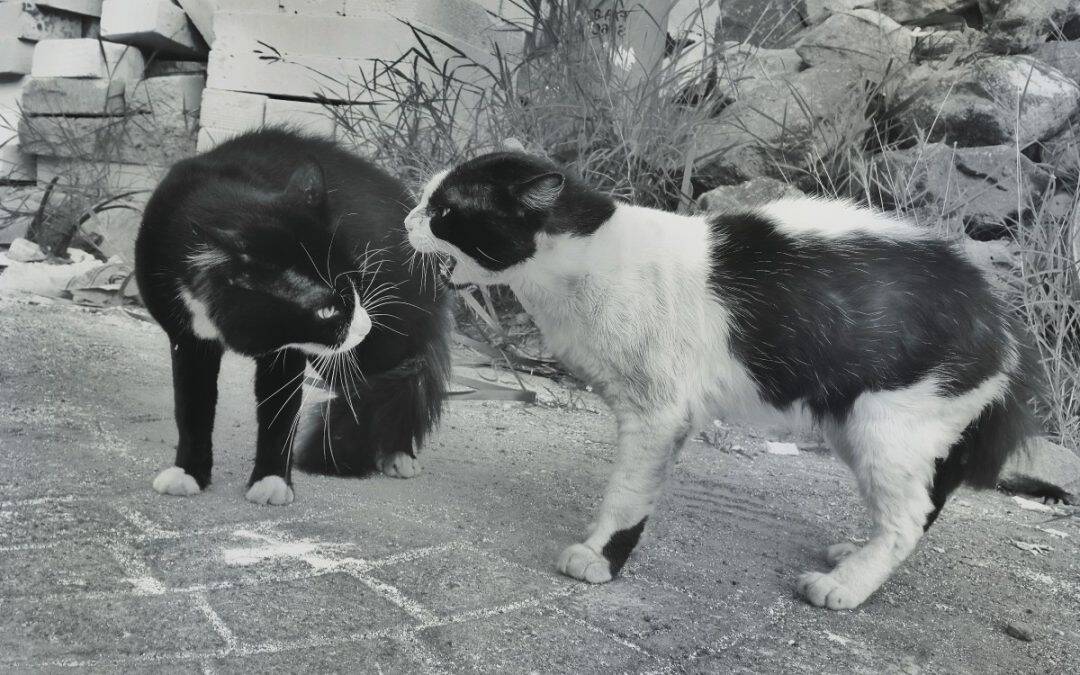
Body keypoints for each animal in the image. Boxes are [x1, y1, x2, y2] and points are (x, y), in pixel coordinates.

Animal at [136, 127, 451, 505]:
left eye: (356, 282)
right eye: (327, 309)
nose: (364, 325)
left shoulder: (286, 354)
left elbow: (279, 415)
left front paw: (271, 482)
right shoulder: (188, 339)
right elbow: (192, 407)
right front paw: (189, 473)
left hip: (371, 348)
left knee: (399, 379)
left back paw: (399, 454)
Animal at [403, 150, 1036, 609]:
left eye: (444, 212)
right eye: (427, 205)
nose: (408, 218)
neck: (583, 265)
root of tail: (1003, 320)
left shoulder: (656, 414)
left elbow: (626, 494)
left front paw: (600, 559)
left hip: (887, 427)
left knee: (906, 520)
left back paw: (846, 586)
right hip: (861, 427)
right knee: (920, 508)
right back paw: (857, 553)